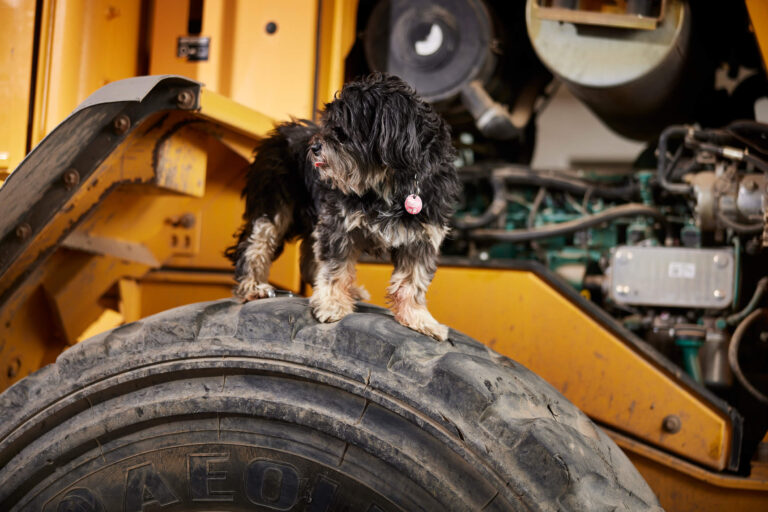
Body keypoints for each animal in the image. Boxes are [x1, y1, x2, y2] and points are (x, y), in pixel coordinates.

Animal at [225, 72, 460, 342]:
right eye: (330, 123)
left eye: (346, 127)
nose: (315, 148)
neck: (389, 183)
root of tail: (278, 132)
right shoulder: (339, 223)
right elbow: (336, 267)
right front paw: (333, 304)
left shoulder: (422, 238)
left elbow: (413, 282)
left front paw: (419, 319)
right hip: (272, 207)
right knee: (254, 246)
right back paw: (253, 287)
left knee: (308, 260)